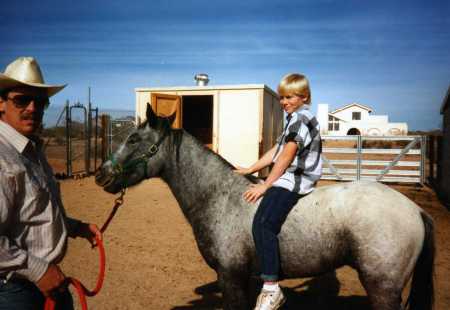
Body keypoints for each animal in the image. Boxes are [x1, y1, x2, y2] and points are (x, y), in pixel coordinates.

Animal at [96, 104, 436, 310]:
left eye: (135, 139)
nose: (102, 175)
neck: (219, 197)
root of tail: (414, 210)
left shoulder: (231, 276)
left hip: (382, 287)